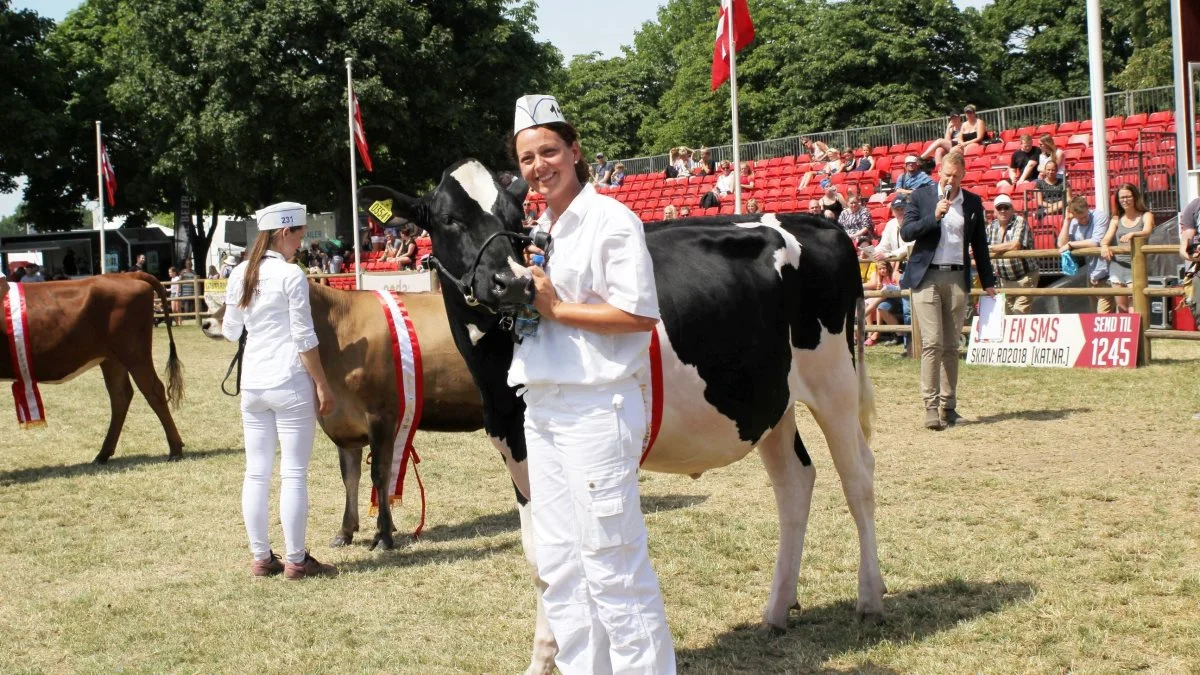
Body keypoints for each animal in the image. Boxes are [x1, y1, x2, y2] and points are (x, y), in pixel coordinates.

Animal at [0, 270, 182, 458]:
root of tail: (128, 274)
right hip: (112, 358)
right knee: (120, 395)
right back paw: (103, 454)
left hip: (134, 352)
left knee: (153, 390)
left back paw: (175, 449)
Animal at [205, 281, 482, 550]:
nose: (207, 323)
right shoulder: (344, 425)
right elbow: (349, 477)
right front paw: (345, 531)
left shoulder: (381, 416)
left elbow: (380, 474)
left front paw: (383, 534)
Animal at [357, 159, 883, 667]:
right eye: (448, 219)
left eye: (515, 220)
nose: (515, 282)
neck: (498, 377)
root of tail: (816, 221)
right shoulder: (514, 446)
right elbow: (542, 556)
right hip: (771, 400)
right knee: (795, 481)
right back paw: (777, 609)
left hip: (835, 381)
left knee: (858, 478)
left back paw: (870, 599)